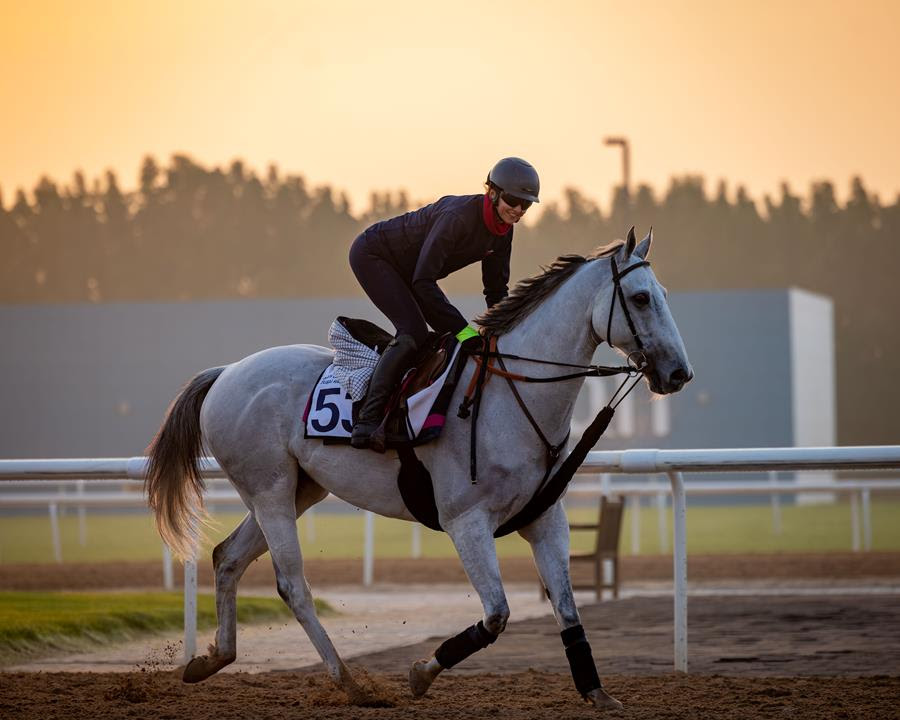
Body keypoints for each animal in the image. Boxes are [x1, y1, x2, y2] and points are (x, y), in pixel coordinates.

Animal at [148, 229, 692, 708]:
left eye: (664, 294)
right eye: (641, 298)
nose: (679, 373)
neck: (510, 396)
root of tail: (225, 372)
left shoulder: (545, 519)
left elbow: (568, 608)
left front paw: (597, 691)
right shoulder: (465, 521)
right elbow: (496, 616)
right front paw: (420, 673)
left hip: (298, 490)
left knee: (227, 557)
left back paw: (212, 659)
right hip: (270, 490)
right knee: (292, 585)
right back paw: (351, 683)